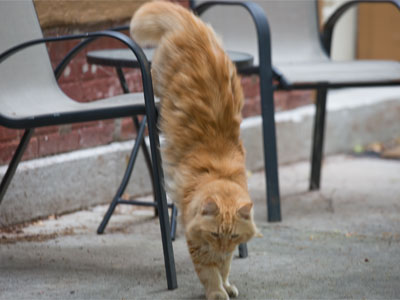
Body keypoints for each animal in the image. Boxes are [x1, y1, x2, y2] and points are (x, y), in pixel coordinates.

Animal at [130, 1, 258, 298]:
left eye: (233, 236)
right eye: (215, 234)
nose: (222, 246)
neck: (217, 174)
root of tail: (192, 26)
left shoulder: (226, 250)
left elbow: (224, 266)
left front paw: (226, 283)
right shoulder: (197, 241)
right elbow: (209, 272)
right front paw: (217, 292)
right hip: (159, 73)